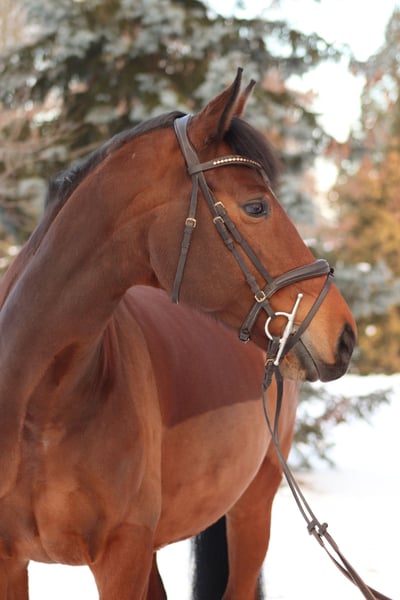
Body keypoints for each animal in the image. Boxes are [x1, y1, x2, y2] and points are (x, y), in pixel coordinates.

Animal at [0, 69, 356, 599]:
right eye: (256, 206)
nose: (345, 336)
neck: (41, 405)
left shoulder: (122, 556)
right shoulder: (12, 560)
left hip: (252, 508)